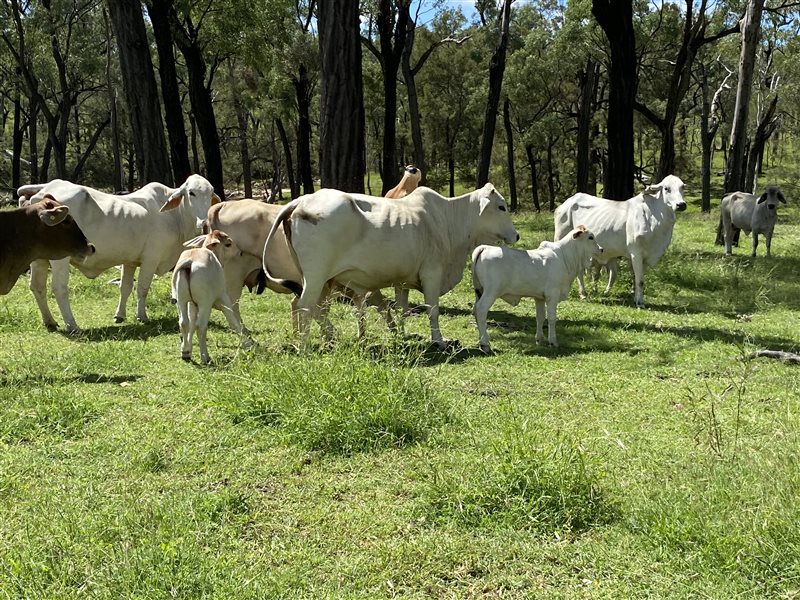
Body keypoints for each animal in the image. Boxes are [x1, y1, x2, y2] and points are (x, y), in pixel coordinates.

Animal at [15, 175, 220, 332]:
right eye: (191, 192)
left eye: (210, 193)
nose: (203, 222)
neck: (175, 217)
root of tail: (44, 190)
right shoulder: (151, 258)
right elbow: (142, 288)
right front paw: (142, 316)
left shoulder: (129, 261)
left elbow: (125, 287)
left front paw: (120, 315)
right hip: (60, 259)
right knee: (59, 288)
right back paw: (72, 325)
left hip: (39, 259)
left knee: (37, 287)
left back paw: (50, 322)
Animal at [172, 229, 253, 360]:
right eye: (228, 244)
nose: (240, 252)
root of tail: (190, 262)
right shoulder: (223, 297)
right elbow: (233, 321)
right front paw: (247, 344)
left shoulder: (192, 304)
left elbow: (191, 323)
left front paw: (188, 349)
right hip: (205, 303)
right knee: (201, 326)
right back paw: (205, 356)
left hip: (181, 300)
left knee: (184, 323)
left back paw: (185, 352)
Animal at [260, 185, 516, 350]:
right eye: (501, 207)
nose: (517, 235)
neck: (447, 220)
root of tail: (301, 201)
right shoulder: (432, 273)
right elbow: (433, 310)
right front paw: (439, 341)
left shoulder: (402, 280)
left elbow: (401, 309)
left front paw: (401, 336)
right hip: (317, 277)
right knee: (306, 306)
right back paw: (306, 346)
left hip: (320, 281)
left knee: (308, 307)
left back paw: (323, 339)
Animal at [468, 225, 600, 352]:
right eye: (590, 237)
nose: (601, 249)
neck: (564, 258)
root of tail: (485, 248)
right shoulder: (552, 295)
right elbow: (552, 318)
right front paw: (553, 341)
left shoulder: (539, 298)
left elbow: (540, 317)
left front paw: (539, 339)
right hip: (491, 292)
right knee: (481, 310)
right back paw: (485, 344)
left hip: (479, 291)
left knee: (475, 310)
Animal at [552, 172, 688, 304]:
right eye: (666, 188)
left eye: (682, 187)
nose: (681, 205)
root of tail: (567, 203)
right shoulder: (636, 252)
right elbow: (639, 280)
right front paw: (640, 302)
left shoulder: (646, 257)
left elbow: (637, 279)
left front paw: (636, 298)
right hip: (562, 237)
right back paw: (582, 294)